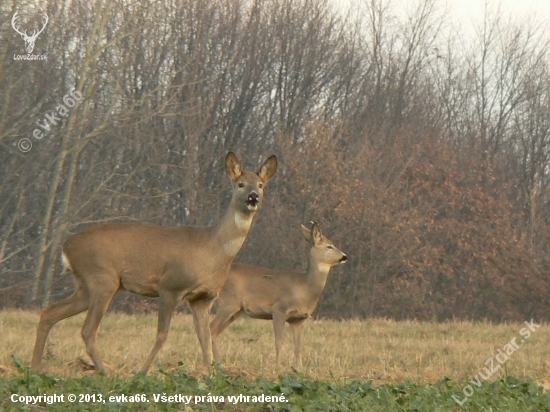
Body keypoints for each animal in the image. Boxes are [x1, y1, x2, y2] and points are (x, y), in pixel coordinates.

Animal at [32, 151, 278, 374]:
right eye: (240, 184)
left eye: (261, 185)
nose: (253, 197)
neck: (212, 249)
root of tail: (66, 247)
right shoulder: (170, 286)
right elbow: (162, 336)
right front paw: (142, 373)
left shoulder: (202, 299)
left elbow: (205, 339)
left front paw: (211, 377)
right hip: (102, 279)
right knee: (87, 330)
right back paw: (104, 373)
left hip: (85, 286)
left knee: (49, 313)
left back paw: (36, 368)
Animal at [212, 222, 350, 366]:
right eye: (329, 246)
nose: (345, 256)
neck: (305, 288)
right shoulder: (279, 310)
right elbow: (279, 342)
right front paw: (278, 366)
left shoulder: (298, 319)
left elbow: (298, 347)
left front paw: (299, 367)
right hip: (228, 303)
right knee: (211, 329)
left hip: (235, 311)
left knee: (215, 332)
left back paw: (218, 362)